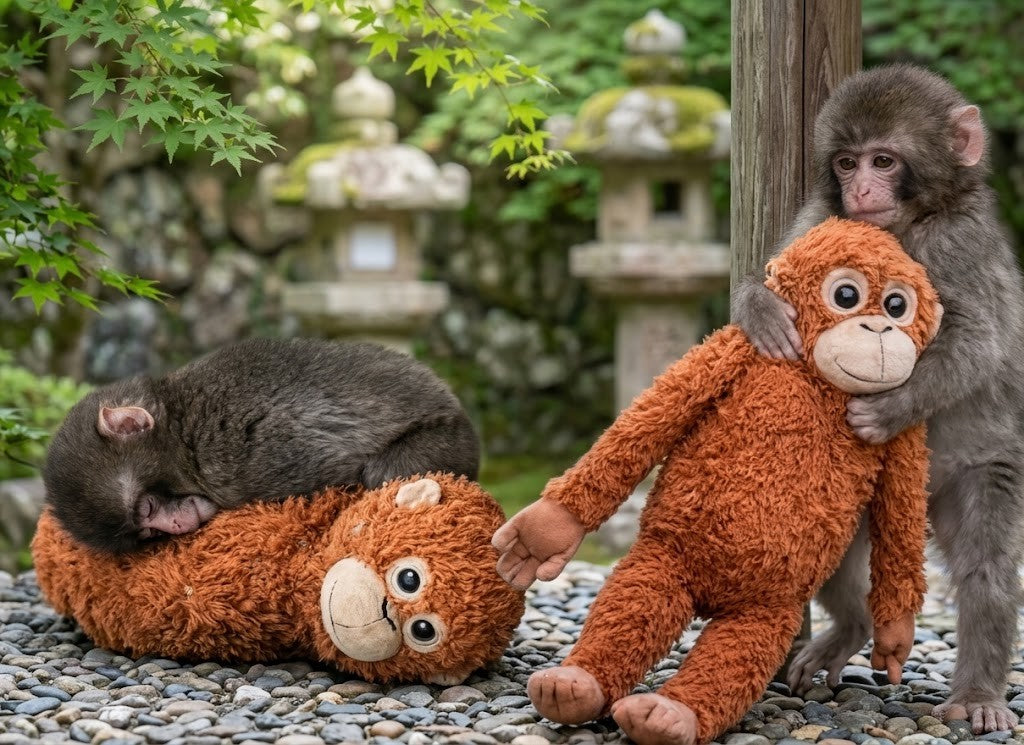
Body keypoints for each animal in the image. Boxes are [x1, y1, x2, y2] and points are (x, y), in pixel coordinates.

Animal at [43, 338, 480, 554]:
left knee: (383, 473)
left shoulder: (240, 457)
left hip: (444, 440)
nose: (175, 526)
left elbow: (341, 470)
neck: (180, 428)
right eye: (147, 533)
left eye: (147, 509)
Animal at [731, 64, 1024, 732]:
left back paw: (979, 694)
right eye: (845, 163)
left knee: (986, 569)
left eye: (884, 160)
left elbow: (978, 342)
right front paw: (760, 309)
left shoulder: (960, 241)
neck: (907, 225)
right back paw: (854, 627)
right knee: (829, 547)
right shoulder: (822, 217)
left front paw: (887, 410)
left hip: (976, 471)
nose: (862, 189)